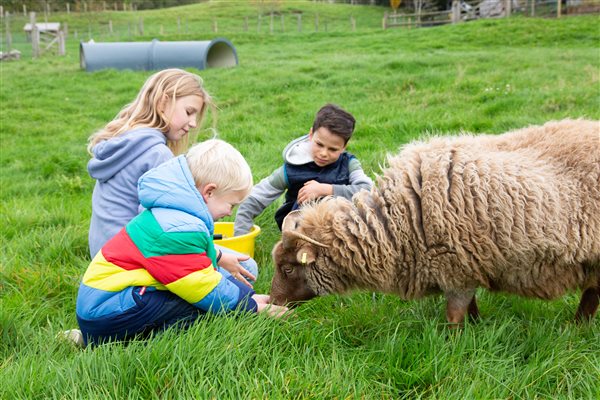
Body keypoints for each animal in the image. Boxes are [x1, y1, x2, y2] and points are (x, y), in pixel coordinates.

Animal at [270, 119, 600, 324]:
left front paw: (457, 344)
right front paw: (479, 327)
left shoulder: (456, 267)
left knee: (591, 296)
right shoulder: (464, 268)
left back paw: (576, 329)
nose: (273, 300)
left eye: (287, 268)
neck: (397, 222)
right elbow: (470, 307)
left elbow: (455, 315)